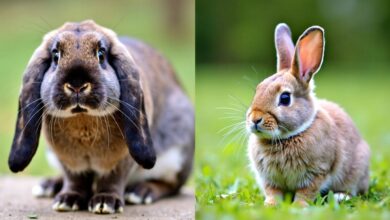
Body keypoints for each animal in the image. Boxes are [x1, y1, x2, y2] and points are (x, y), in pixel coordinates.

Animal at [7, 20, 193, 213]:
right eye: (55, 55)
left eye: (101, 54)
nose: (77, 85)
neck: (83, 118)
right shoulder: (67, 160)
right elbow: (75, 180)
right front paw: (67, 200)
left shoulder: (121, 160)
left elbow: (112, 180)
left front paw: (105, 203)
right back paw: (48, 186)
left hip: (177, 151)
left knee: (171, 185)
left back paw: (141, 192)